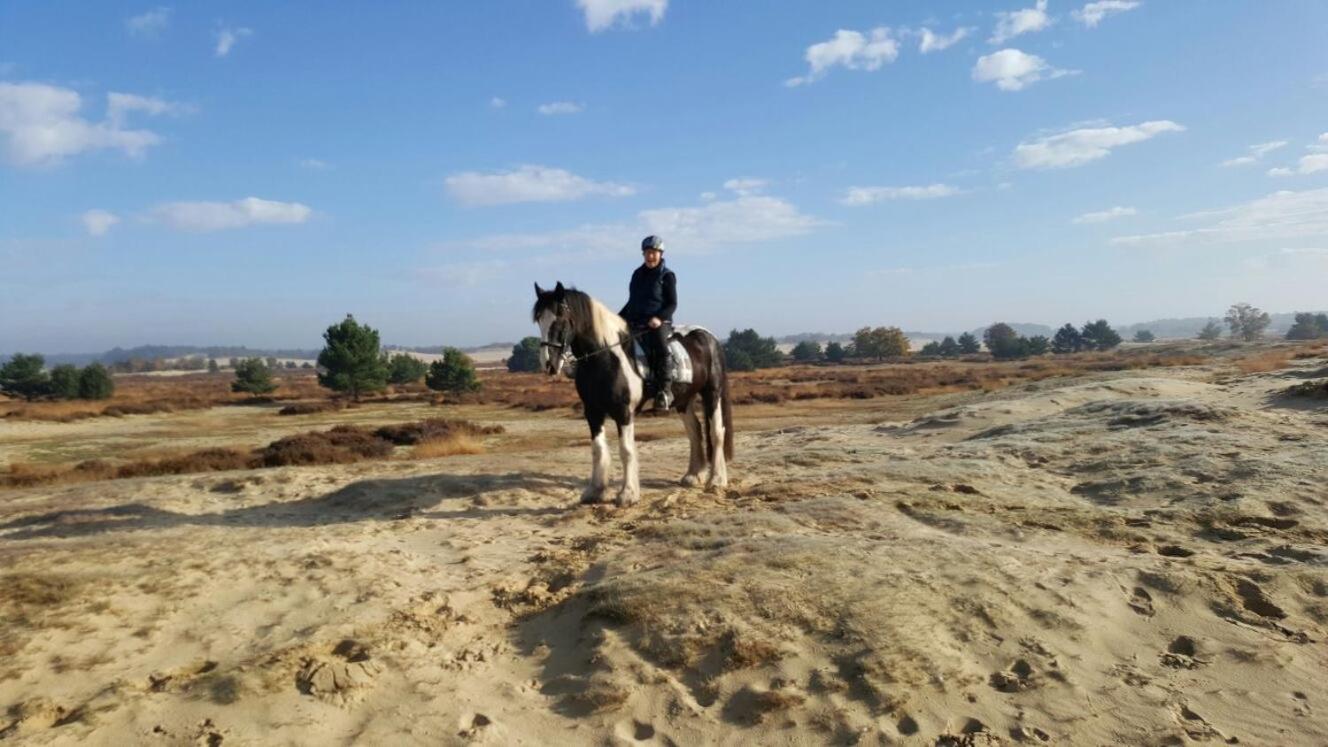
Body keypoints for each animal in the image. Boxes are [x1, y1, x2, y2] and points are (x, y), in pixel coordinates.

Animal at [532, 282, 733, 506]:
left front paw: (628, 494)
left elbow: (626, 450)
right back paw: (693, 475)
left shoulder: (623, 412)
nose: (549, 364)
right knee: (695, 431)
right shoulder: (592, 412)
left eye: (560, 318)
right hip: (683, 399)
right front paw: (595, 491)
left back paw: (716, 480)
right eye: (539, 319)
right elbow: (597, 449)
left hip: (712, 392)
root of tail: (710, 338)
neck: (606, 357)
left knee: (716, 432)